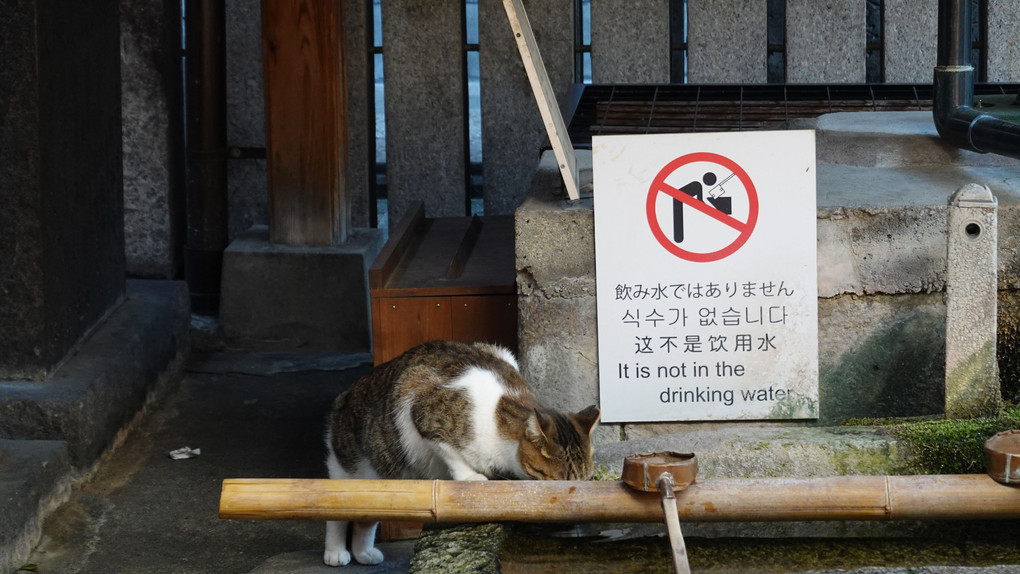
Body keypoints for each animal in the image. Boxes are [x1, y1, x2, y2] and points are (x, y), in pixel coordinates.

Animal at [322, 338, 599, 566]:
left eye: (586, 481)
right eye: (560, 483)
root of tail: (344, 396)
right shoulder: (420, 407)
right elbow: (451, 452)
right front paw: (470, 477)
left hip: (381, 485)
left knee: (365, 517)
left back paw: (363, 553)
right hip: (347, 469)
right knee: (337, 512)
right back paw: (336, 552)